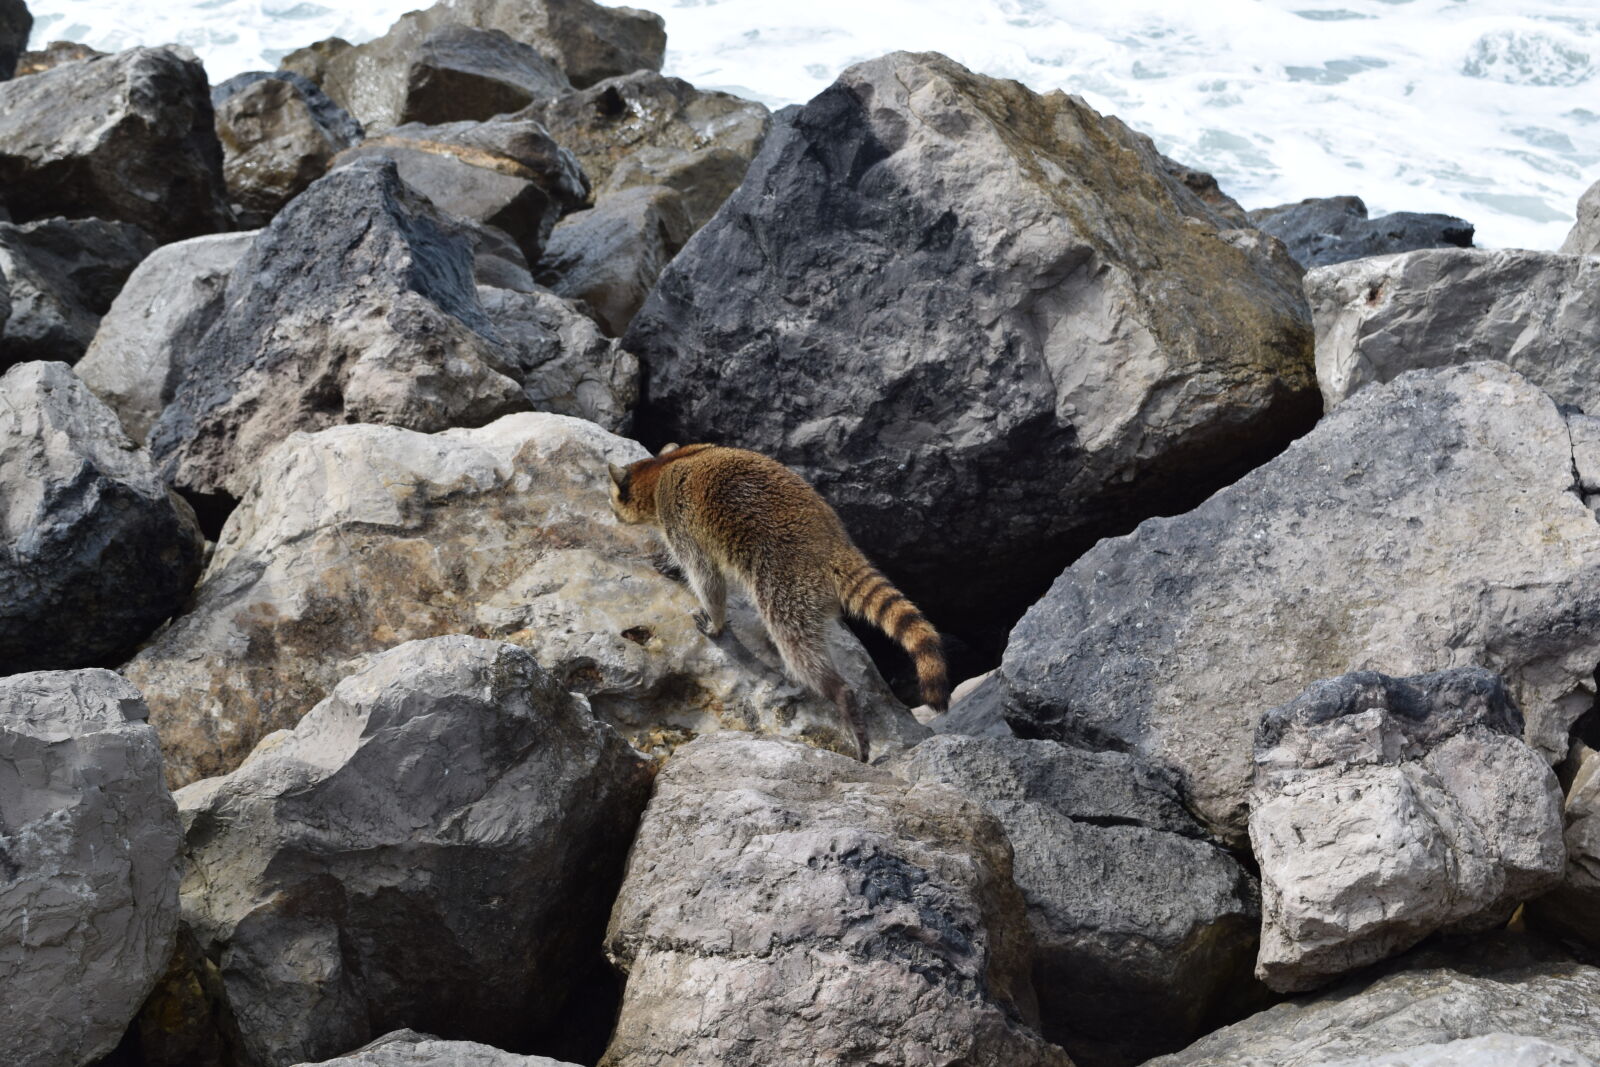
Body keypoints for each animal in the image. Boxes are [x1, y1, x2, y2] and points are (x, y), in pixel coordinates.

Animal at [607, 443, 948, 759]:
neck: (660, 468)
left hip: (789, 586)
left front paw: (715, 620)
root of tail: (834, 547)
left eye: (612, 499)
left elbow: (706, 576)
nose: (612, 513)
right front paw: (670, 564)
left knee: (797, 648)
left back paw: (839, 694)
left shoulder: (680, 519)